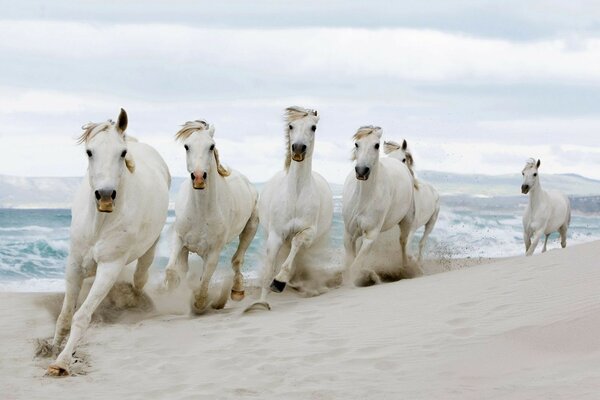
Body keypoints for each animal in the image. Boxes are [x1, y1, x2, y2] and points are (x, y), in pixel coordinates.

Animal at [47, 108, 170, 376]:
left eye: (122, 153)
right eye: (89, 152)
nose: (105, 196)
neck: (99, 223)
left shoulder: (109, 267)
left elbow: (81, 316)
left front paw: (62, 362)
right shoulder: (74, 265)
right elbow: (65, 314)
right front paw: (51, 349)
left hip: (148, 250)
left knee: (140, 278)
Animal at [163, 119, 258, 312]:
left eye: (211, 146)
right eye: (186, 146)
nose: (199, 178)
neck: (200, 212)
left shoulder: (214, 250)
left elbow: (205, 279)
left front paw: (200, 302)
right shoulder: (180, 239)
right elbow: (171, 269)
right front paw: (172, 290)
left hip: (251, 227)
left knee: (237, 260)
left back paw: (237, 291)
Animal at [247, 105, 336, 310]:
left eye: (313, 127)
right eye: (290, 126)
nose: (298, 148)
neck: (295, 195)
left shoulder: (308, 232)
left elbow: (297, 243)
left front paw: (280, 281)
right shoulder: (275, 235)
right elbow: (270, 266)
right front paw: (260, 303)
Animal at [344, 126, 414, 282]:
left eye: (376, 145)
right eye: (357, 144)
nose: (361, 171)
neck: (364, 199)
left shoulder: (371, 236)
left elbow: (354, 266)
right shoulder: (349, 235)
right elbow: (351, 262)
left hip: (406, 221)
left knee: (403, 242)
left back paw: (406, 269)